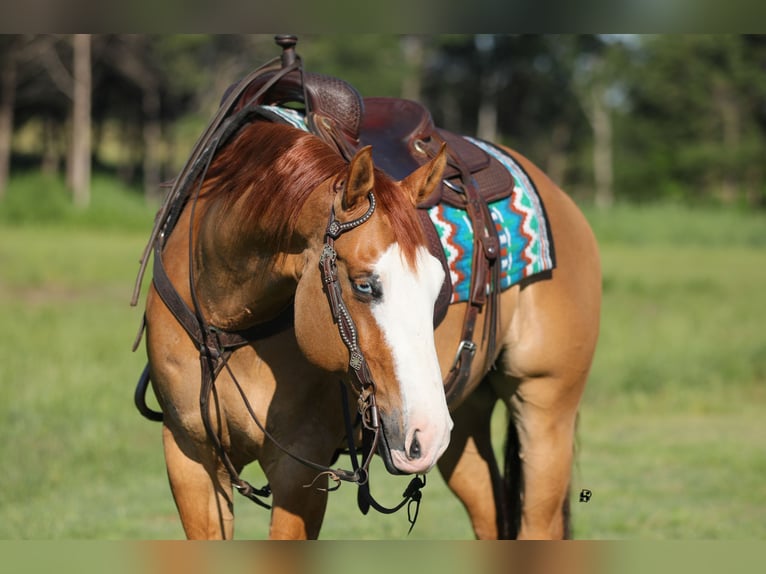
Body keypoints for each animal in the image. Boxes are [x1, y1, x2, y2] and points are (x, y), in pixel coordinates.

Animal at [132, 49, 604, 544]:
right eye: (363, 284)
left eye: (438, 287)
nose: (426, 433)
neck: (226, 323)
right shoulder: (190, 457)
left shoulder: (300, 466)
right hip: (465, 417)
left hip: (544, 408)